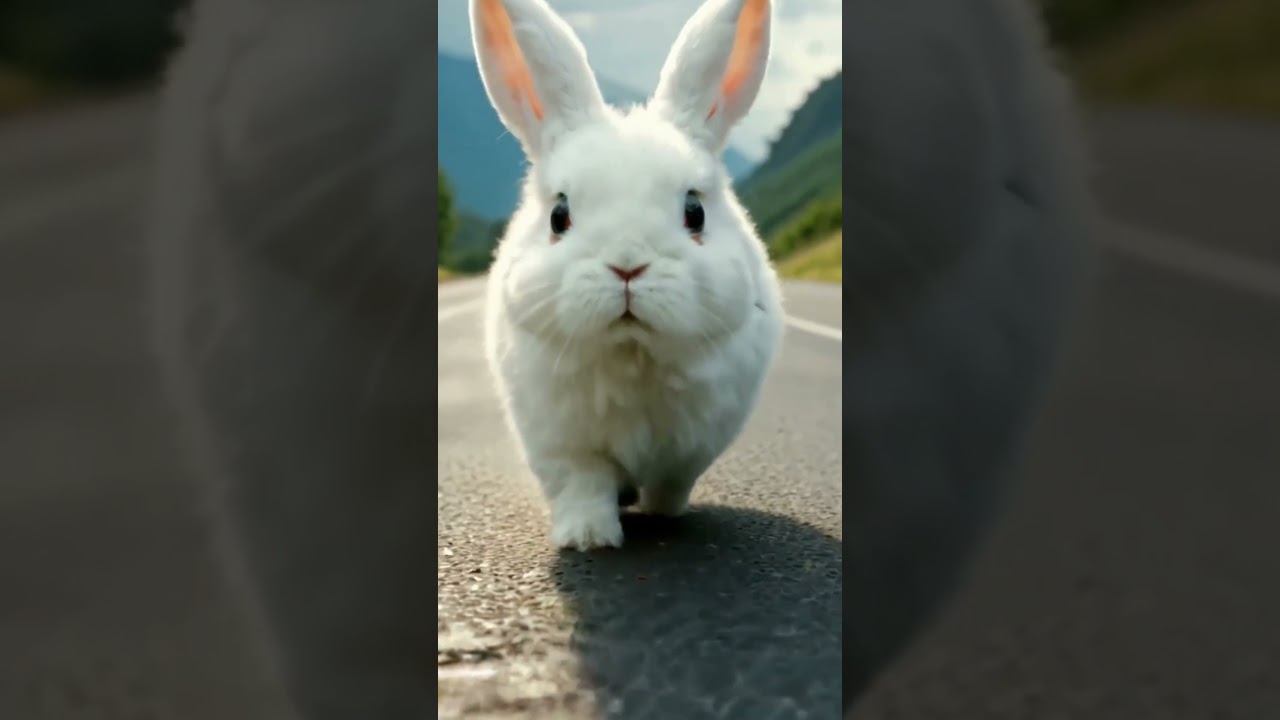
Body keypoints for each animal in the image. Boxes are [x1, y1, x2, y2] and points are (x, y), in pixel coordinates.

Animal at [470, 0, 786, 551]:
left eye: (695, 212)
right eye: (559, 216)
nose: (627, 266)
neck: (631, 350)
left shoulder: (689, 451)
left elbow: (670, 483)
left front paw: (664, 515)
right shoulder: (565, 448)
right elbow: (584, 486)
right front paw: (588, 538)